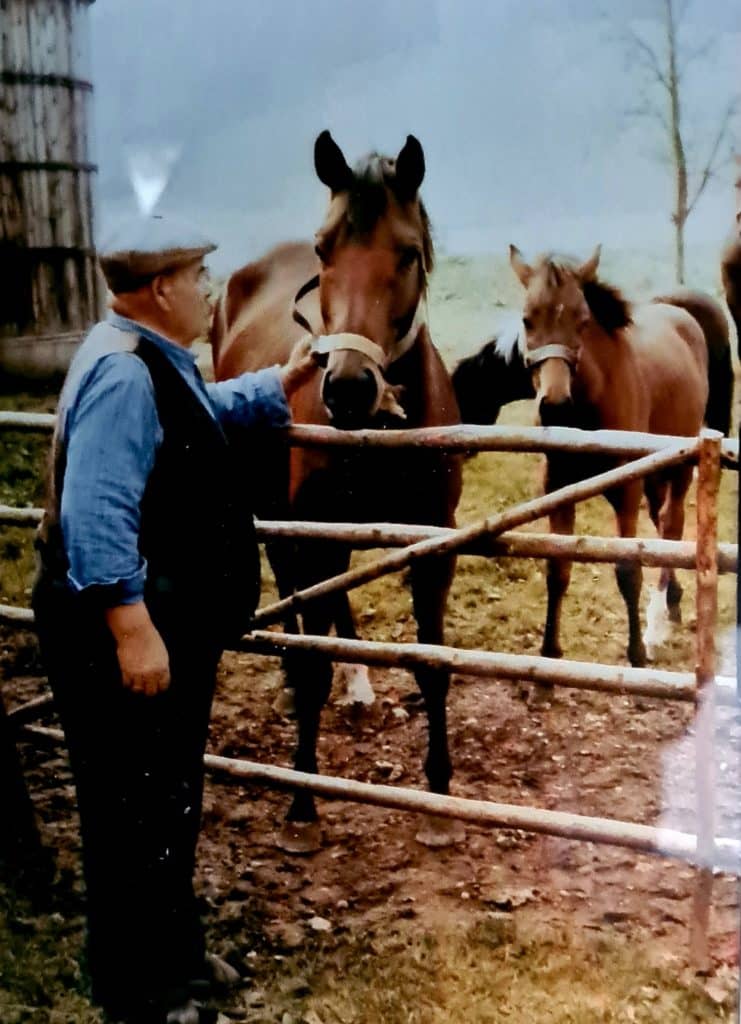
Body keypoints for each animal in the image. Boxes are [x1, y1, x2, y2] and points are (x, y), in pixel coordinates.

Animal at [210, 132, 460, 851]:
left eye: (407, 252)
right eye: (324, 249)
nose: (347, 387)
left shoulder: (433, 547)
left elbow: (432, 664)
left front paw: (439, 798)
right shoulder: (313, 536)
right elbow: (313, 658)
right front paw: (301, 803)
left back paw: (357, 685)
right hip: (279, 519)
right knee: (297, 606)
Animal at [505, 243, 708, 667]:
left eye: (582, 321)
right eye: (527, 320)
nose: (555, 404)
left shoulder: (626, 493)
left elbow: (627, 570)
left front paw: (636, 654)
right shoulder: (558, 491)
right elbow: (558, 568)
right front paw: (550, 656)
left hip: (679, 465)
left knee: (672, 523)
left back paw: (658, 622)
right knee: (662, 522)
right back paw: (673, 602)